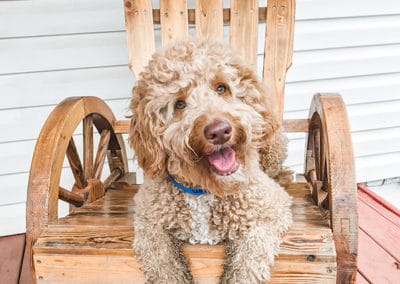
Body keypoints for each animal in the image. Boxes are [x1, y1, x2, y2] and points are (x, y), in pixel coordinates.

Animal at [130, 38, 292, 284]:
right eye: (179, 104)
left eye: (221, 88)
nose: (219, 131)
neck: (203, 190)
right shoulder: (149, 220)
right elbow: (163, 263)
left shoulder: (270, 211)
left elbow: (248, 261)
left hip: (273, 146)